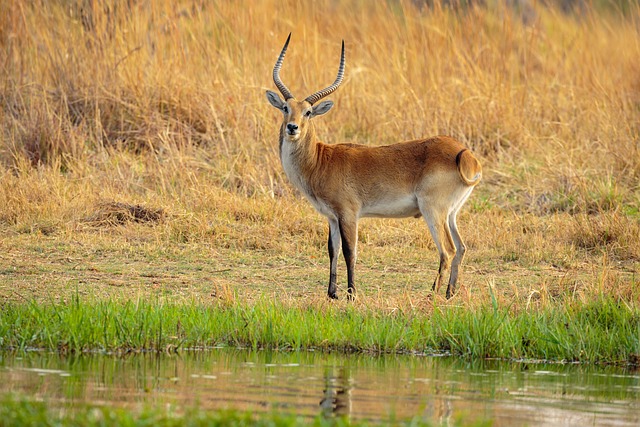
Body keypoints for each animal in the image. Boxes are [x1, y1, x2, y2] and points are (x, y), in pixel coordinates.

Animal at [264, 34, 480, 300]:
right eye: (286, 108)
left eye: (308, 112)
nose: (292, 127)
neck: (320, 161)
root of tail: (465, 154)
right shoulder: (332, 217)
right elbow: (333, 250)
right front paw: (332, 293)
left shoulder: (349, 213)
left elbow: (350, 251)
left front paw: (351, 294)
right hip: (451, 213)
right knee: (461, 247)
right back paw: (450, 293)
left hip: (433, 211)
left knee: (447, 250)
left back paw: (432, 294)